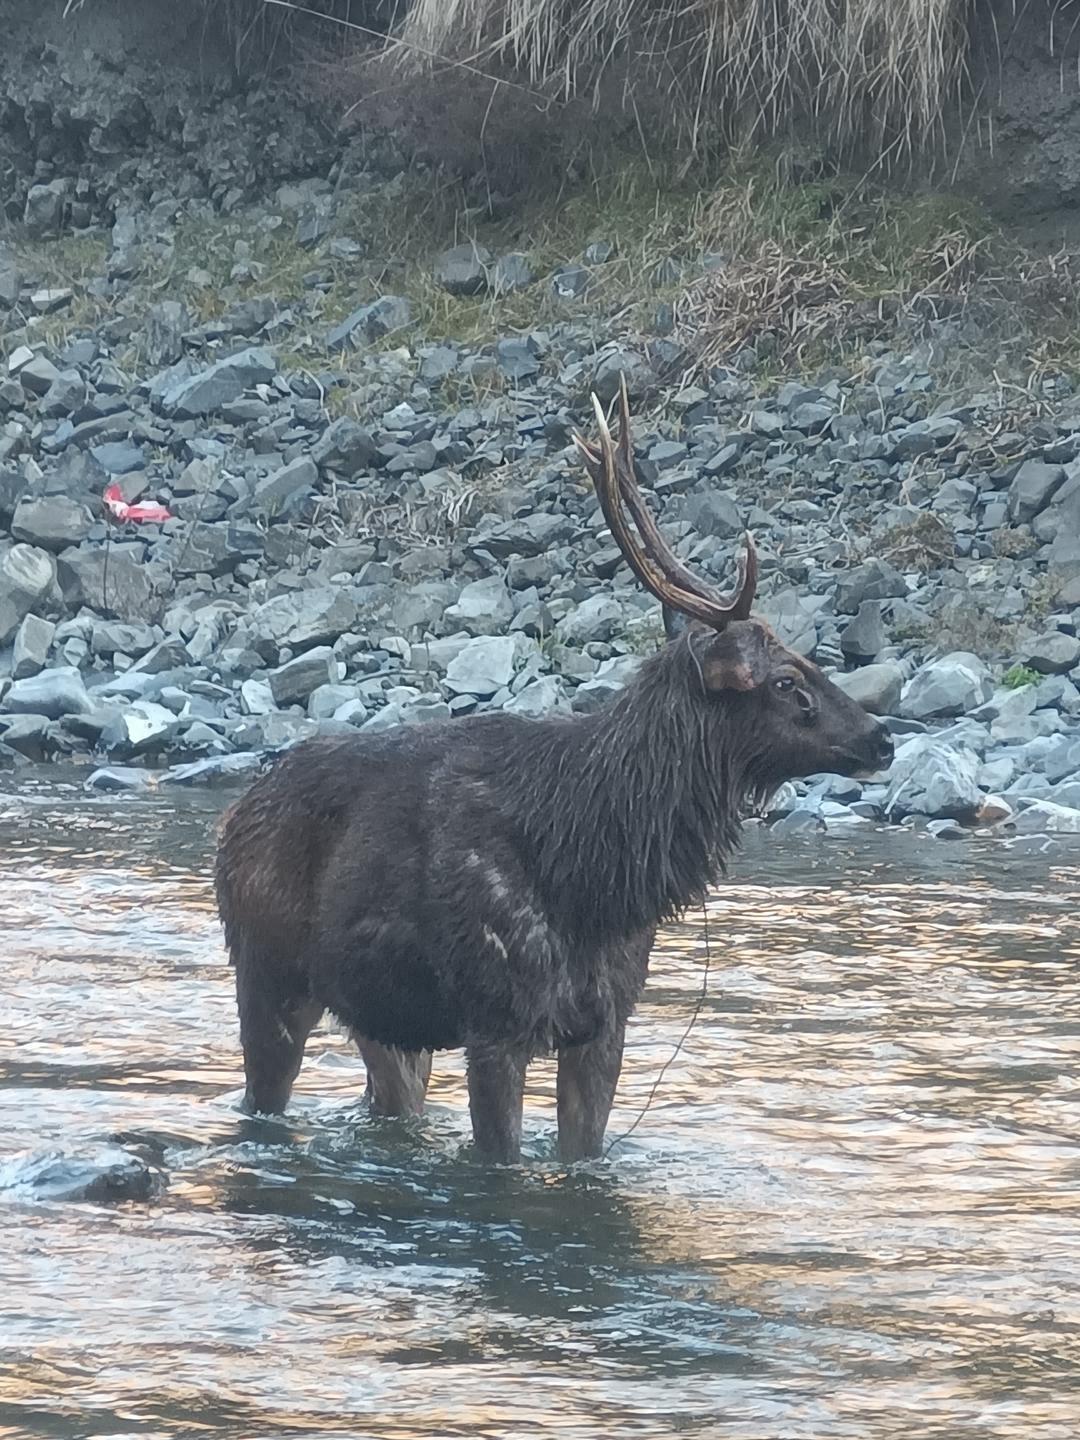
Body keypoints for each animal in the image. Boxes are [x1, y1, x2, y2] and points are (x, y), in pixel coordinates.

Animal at [213, 380, 898, 1157]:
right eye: (785, 681)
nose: (882, 738)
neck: (598, 873)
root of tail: (233, 818)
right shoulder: (495, 1020)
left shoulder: (605, 1025)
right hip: (265, 974)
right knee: (260, 1097)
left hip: (381, 1018)